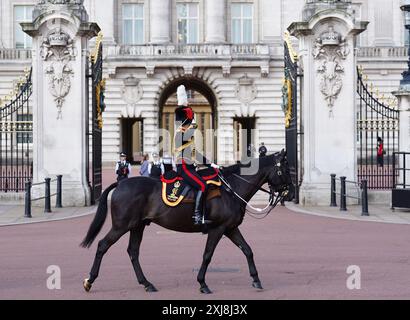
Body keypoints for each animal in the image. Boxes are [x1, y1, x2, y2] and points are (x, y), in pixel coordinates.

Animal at [81, 151, 292, 294]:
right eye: (285, 170)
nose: (289, 192)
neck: (231, 189)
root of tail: (122, 183)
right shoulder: (218, 229)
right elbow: (207, 255)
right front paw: (202, 283)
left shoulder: (230, 228)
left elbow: (247, 250)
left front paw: (256, 279)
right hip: (121, 226)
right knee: (103, 245)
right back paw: (90, 281)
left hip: (137, 226)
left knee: (133, 252)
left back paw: (147, 283)